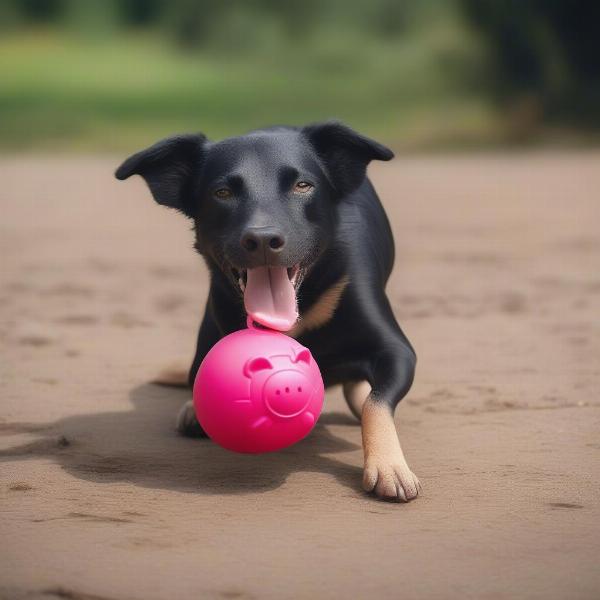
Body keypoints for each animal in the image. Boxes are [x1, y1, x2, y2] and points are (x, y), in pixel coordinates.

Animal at [115, 122, 420, 502]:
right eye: (222, 192)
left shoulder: (396, 350)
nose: (261, 240)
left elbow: (376, 403)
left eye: (302, 185)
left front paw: (388, 465)